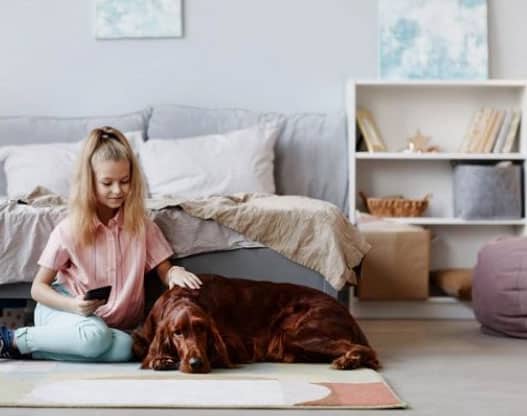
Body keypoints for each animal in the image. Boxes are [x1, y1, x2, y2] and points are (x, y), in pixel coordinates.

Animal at [132, 274, 380, 372]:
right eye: (177, 333)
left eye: (202, 330)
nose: (196, 363)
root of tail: (346, 311)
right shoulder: (144, 333)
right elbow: (138, 346)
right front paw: (159, 359)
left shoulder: (237, 345)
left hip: (292, 335)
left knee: (364, 349)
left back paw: (348, 361)